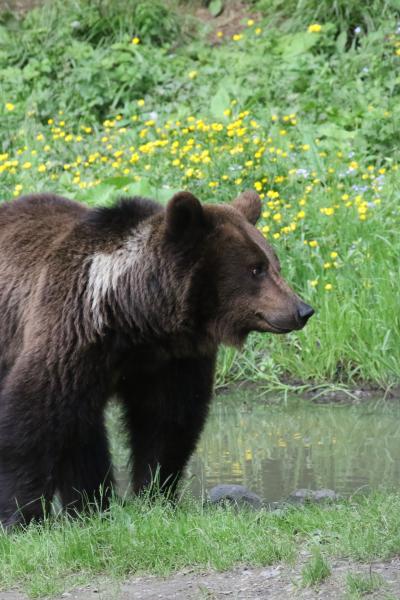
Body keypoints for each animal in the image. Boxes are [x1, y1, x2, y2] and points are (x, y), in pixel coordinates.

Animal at [0, 190, 312, 528]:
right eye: (256, 268)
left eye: (274, 263)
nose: (302, 310)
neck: (135, 316)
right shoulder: (73, 333)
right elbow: (34, 415)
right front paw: (21, 516)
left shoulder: (170, 360)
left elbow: (166, 422)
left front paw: (154, 495)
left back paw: (91, 505)